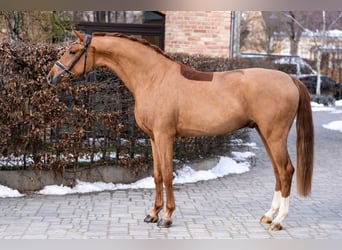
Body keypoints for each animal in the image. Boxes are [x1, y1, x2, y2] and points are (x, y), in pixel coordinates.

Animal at [46, 30, 314, 231]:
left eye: (72, 51)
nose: (51, 76)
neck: (153, 78)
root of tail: (290, 79)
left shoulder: (165, 136)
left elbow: (167, 175)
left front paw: (166, 217)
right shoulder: (153, 138)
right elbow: (156, 175)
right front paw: (153, 213)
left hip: (274, 136)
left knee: (286, 171)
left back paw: (278, 221)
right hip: (265, 134)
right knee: (278, 173)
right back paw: (269, 215)